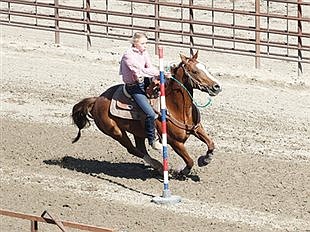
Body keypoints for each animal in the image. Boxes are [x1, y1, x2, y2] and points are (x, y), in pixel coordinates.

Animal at [71, 51, 222, 178]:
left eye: (205, 67)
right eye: (195, 71)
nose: (217, 86)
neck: (176, 108)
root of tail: (97, 100)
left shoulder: (197, 128)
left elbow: (210, 143)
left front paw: (205, 159)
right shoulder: (174, 142)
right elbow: (189, 160)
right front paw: (181, 171)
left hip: (137, 132)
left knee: (140, 148)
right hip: (115, 132)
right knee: (133, 149)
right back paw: (160, 166)